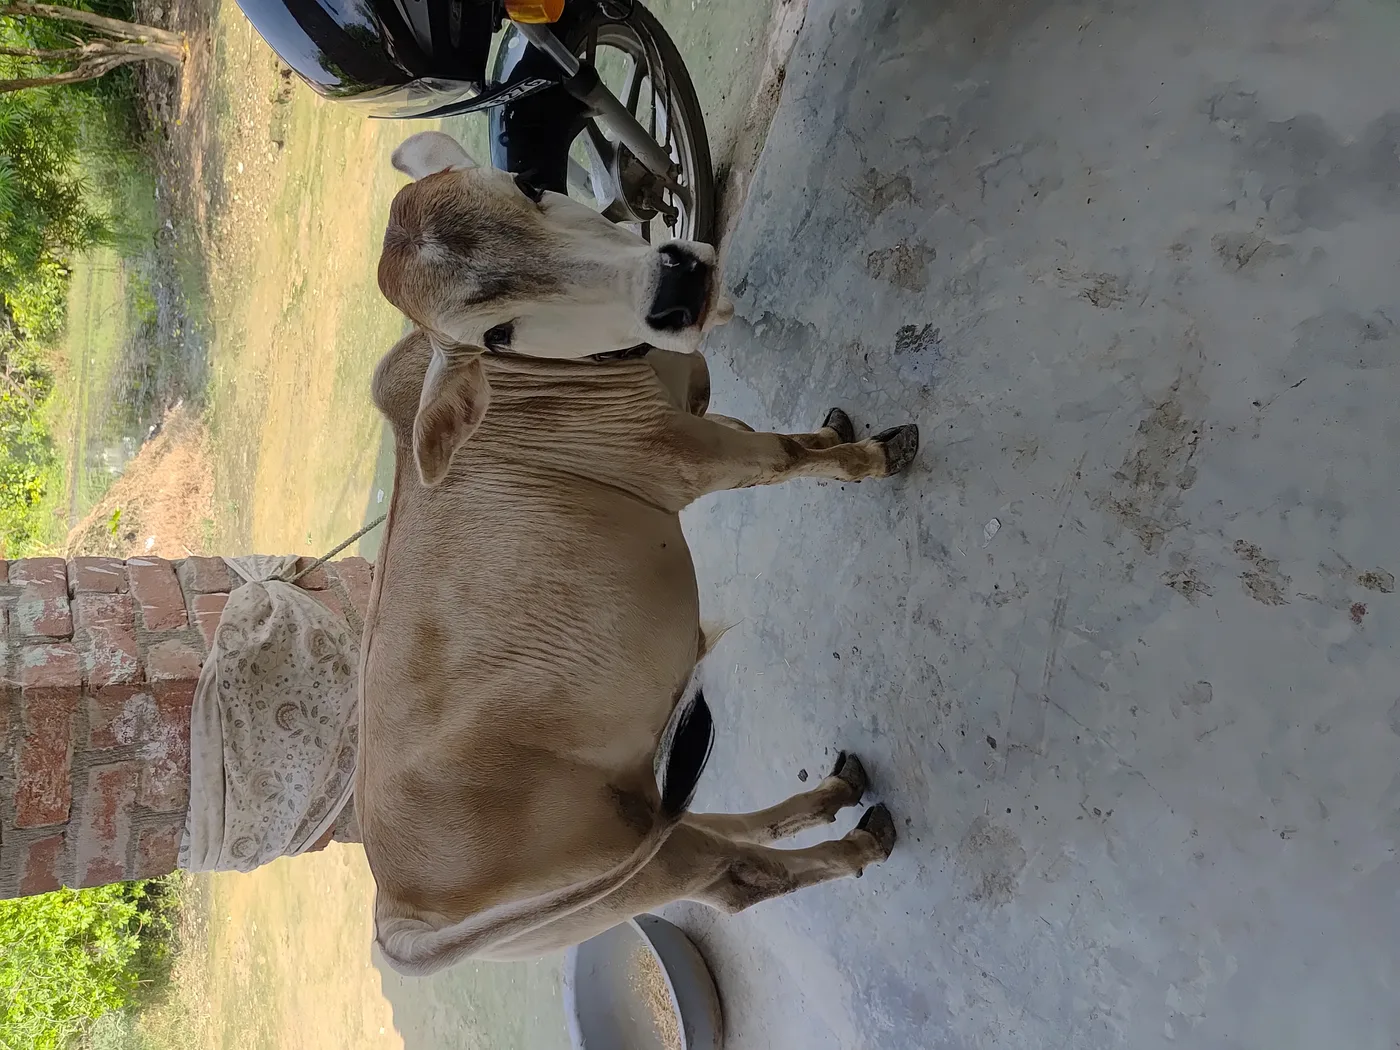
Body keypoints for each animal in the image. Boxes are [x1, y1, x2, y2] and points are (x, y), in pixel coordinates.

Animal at [358, 132, 919, 975]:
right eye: (498, 334)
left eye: (530, 183)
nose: (675, 286)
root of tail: (397, 920)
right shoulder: (694, 456)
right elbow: (785, 457)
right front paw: (874, 457)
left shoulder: (703, 410)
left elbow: (795, 439)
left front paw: (837, 430)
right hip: (631, 874)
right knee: (735, 877)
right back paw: (858, 838)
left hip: (631, 837)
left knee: (704, 823)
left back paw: (828, 794)